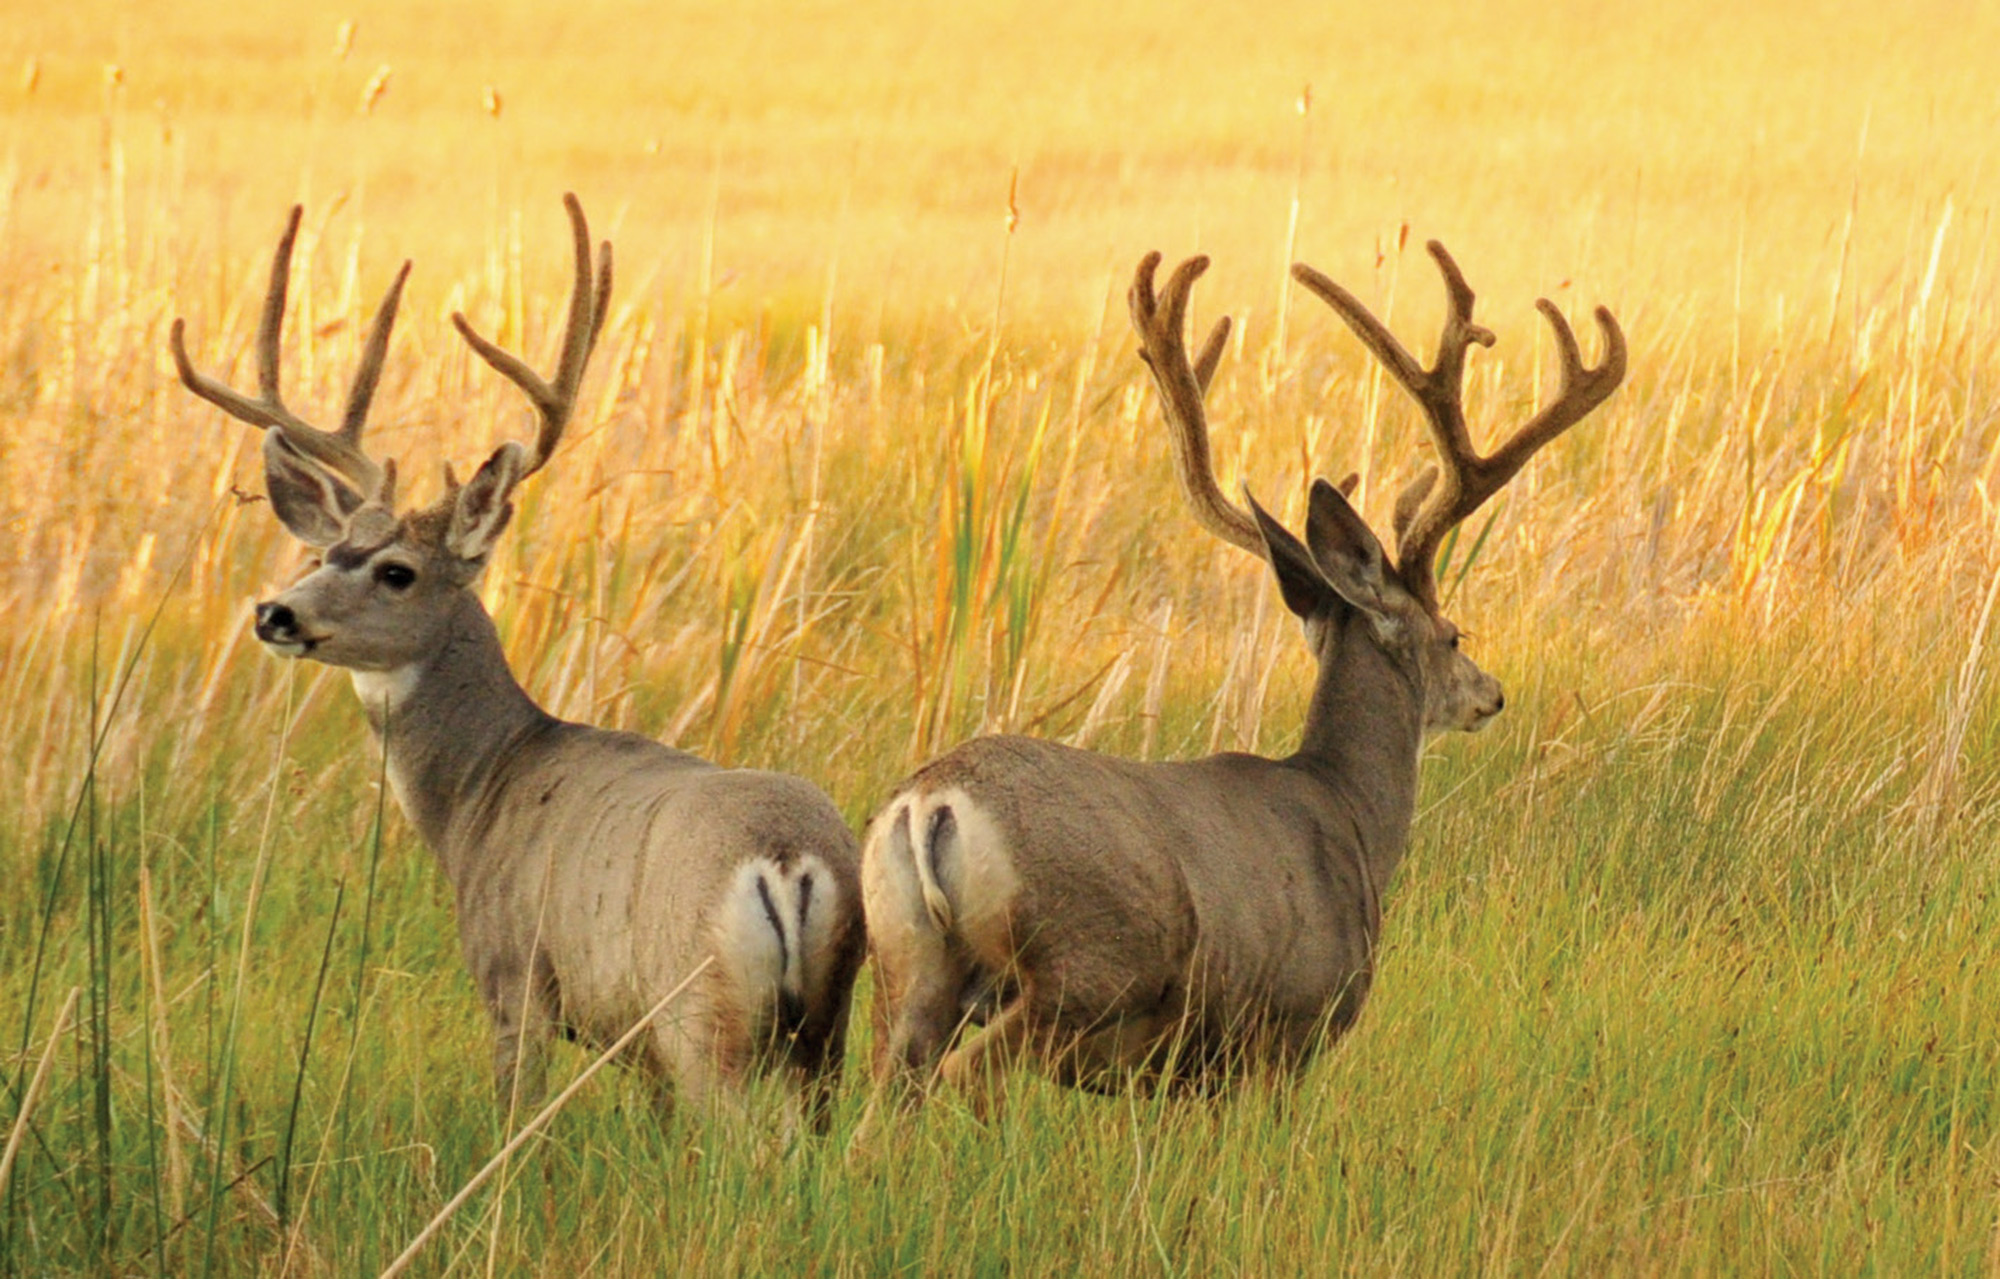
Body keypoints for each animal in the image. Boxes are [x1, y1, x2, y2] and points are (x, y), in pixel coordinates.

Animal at [172, 194, 860, 1127]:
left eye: (398, 571)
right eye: (323, 553)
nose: (274, 613)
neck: (479, 790)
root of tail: (789, 861)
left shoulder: (514, 975)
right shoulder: (630, 1041)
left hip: (698, 1011)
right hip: (825, 1029)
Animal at [860, 244, 1624, 1103]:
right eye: (1454, 633)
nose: (1492, 693)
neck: (1352, 813)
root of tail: (931, 804)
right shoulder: (1286, 1031)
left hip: (905, 963)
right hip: (1082, 963)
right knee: (963, 1073)